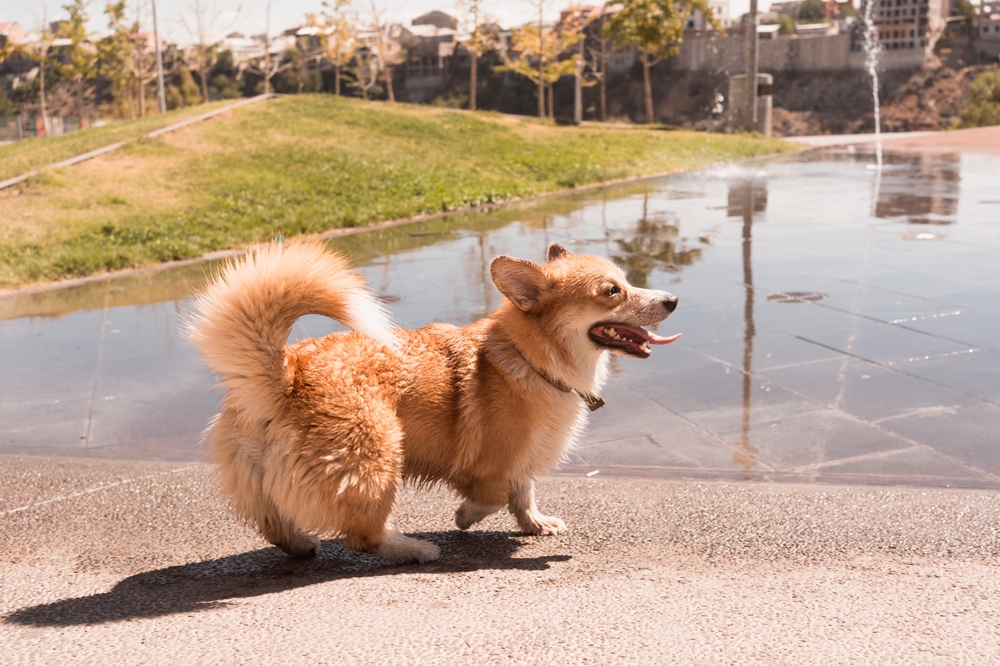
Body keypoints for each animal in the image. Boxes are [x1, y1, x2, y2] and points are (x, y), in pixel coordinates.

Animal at [188, 239, 680, 560]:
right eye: (612, 291)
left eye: (626, 281)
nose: (673, 299)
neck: (533, 357)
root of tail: (285, 374)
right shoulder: (488, 464)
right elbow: (493, 494)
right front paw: (465, 516)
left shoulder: (525, 457)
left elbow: (524, 493)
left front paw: (537, 524)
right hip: (380, 453)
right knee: (362, 536)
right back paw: (413, 548)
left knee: (274, 523)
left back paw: (302, 545)